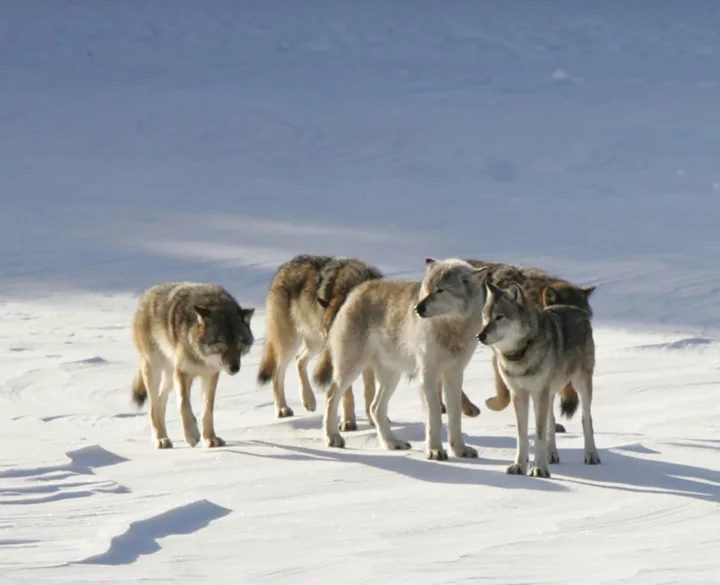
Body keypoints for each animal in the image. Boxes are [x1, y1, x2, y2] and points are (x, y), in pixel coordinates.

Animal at [132, 280, 256, 450]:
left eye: (239, 344)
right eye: (221, 344)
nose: (234, 368)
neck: (201, 357)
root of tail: (147, 294)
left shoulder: (210, 375)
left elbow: (207, 410)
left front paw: (210, 439)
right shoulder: (183, 373)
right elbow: (183, 404)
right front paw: (191, 435)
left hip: (169, 377)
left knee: (160, 401)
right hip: (154, 370)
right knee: (153, 406)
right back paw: (160, 439)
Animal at [466, 258, 596, 432]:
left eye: (587, 317)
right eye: (486, 317)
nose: (581, 333)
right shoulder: (499, 358)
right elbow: (504, 398)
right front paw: (491, 404)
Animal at [476, 280, 600, 476]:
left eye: (499, 317)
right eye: (485, 317)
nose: (479, 336)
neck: (520, 353)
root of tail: (574, 308)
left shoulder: (538, 392)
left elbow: (539, 434)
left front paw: (539, 468)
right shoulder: (519, 394)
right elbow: (522, 435)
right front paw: (519, 466)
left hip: (580, 384)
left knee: (586, 419)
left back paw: (591, 455)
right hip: (549, 393)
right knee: (552, 421)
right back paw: (552, 455)